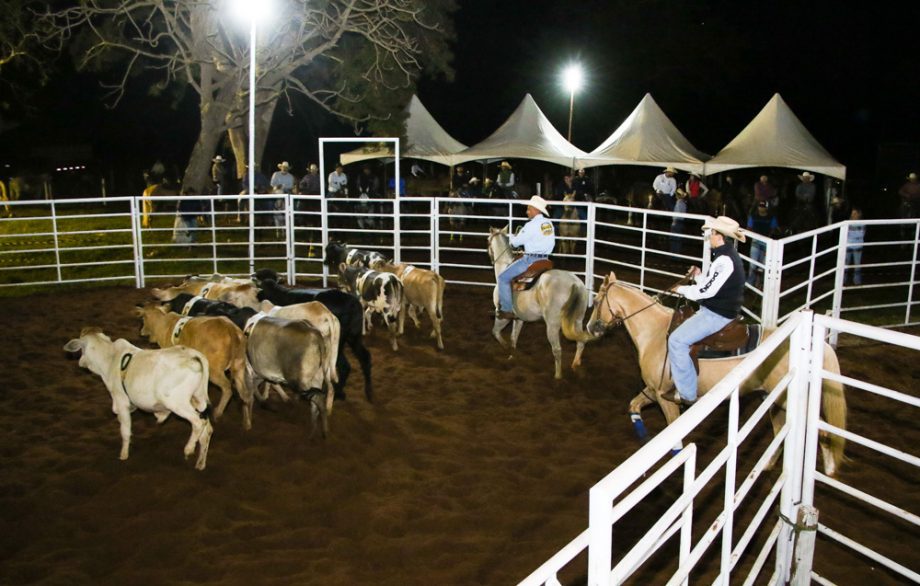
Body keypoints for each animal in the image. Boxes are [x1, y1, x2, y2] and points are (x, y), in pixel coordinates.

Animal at [64, 326, 216, 468]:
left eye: (81, 349)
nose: (80, 362)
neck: (111, 358)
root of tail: (194, 355)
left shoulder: (121, 402)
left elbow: (125, 431)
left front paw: (123, 455)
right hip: (198, 399)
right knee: (206, 430)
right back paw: (200, 464)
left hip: (177, 403)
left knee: (198, 422)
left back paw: (188, 449)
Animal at [253, 270, 372, 402]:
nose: (258, 295)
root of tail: (353, 304)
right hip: (353, 336)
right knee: (364, 358)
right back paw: (367, 393)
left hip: (337, 341)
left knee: (343, 366)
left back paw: (338, 392)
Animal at [488, 224, 596, 378]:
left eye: (488, 241)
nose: (491, 259)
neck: (504, 267)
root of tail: (574, 284)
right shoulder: (519, 318)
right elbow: (514, 337)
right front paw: (512, 355)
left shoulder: (502, 315)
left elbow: (496, 332)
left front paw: (507, 349)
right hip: (578, 319)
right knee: (580, 342)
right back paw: (575, 365)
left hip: (552, 324)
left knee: (557, 349)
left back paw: (557, 376)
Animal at [588, 272, 848, 476]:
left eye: (597, 299)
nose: (590, 327)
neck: (655, 332)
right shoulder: (652, 390)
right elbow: (633, 406)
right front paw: (642, 438)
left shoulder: (664, 396)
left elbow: (674, 436)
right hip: (775, 398)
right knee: (780, 429)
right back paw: (767, 465)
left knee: (823, 431)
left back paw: (829, 471)